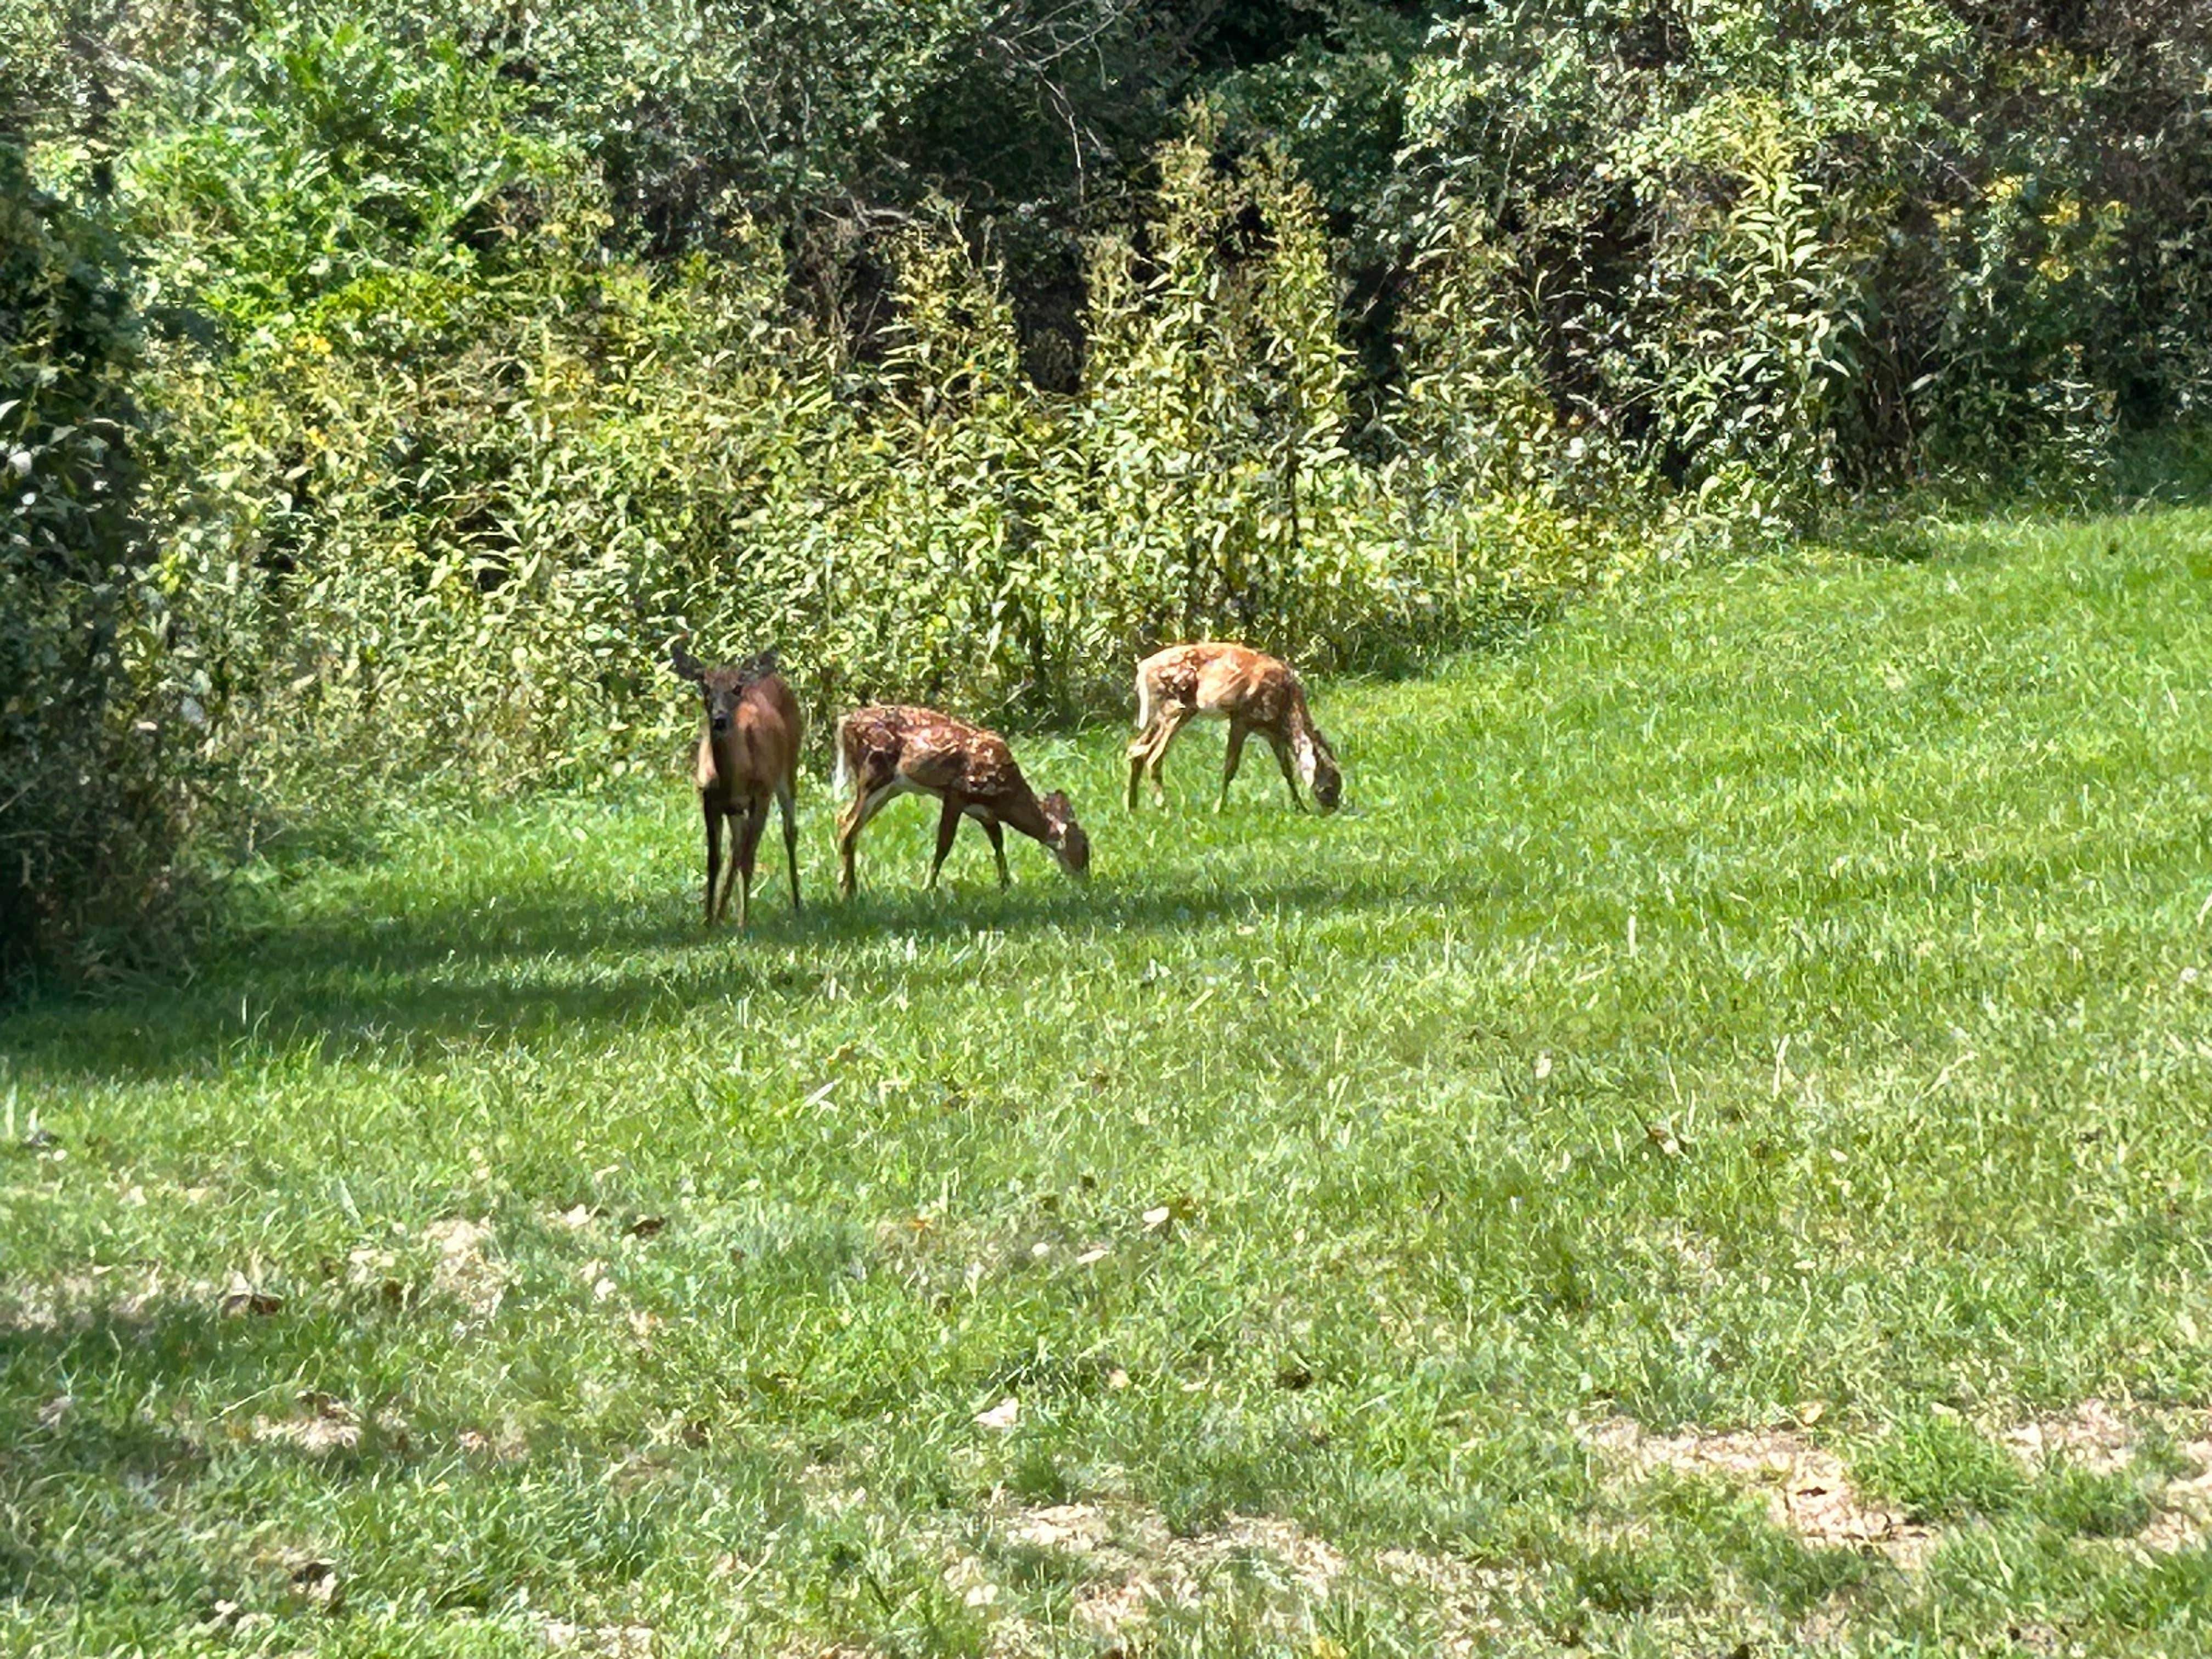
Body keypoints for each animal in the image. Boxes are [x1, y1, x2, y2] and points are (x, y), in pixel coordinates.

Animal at [676, 646, 809, 938]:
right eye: (704, 687)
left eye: (737, 689)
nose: (719, 720)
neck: (734, 776)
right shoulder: (709, 799)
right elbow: (714, 860)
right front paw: (708, 921)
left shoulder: (762, 795)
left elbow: (749, 859)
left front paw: (743, 922)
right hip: (736, 809)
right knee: (736, 848)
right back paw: (722, 915)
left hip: (789, 770)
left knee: (789, 832)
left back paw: (797, 905)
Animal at [832, 708, 1092, 902]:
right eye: (1083, 849)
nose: (1086, 881)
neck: (1006, 795)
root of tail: (844, 723)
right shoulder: (956, 793)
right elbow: (944, 845)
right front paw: (929, 889)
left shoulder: (983, 811)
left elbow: (998, 842)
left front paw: (1006, 885)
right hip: (873, 775)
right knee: (846, 822)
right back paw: (848, 891)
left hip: (891, 788)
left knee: (846, 821)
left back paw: (850, 888)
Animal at [1132, 641, 1336, 814]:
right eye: (1330, 781)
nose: (1334, 806)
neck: (1286, 704)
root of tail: (1143, 669)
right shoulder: (1241, 718)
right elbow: (1231, 766)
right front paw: (1219, 808)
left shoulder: (1271, 732)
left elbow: (1287, 770)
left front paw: (1301, 807)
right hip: (1177, 708)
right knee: (1152, 755)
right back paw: (1162, 806)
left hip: (1161, 714)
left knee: (1136, 749)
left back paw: (1133, 808)